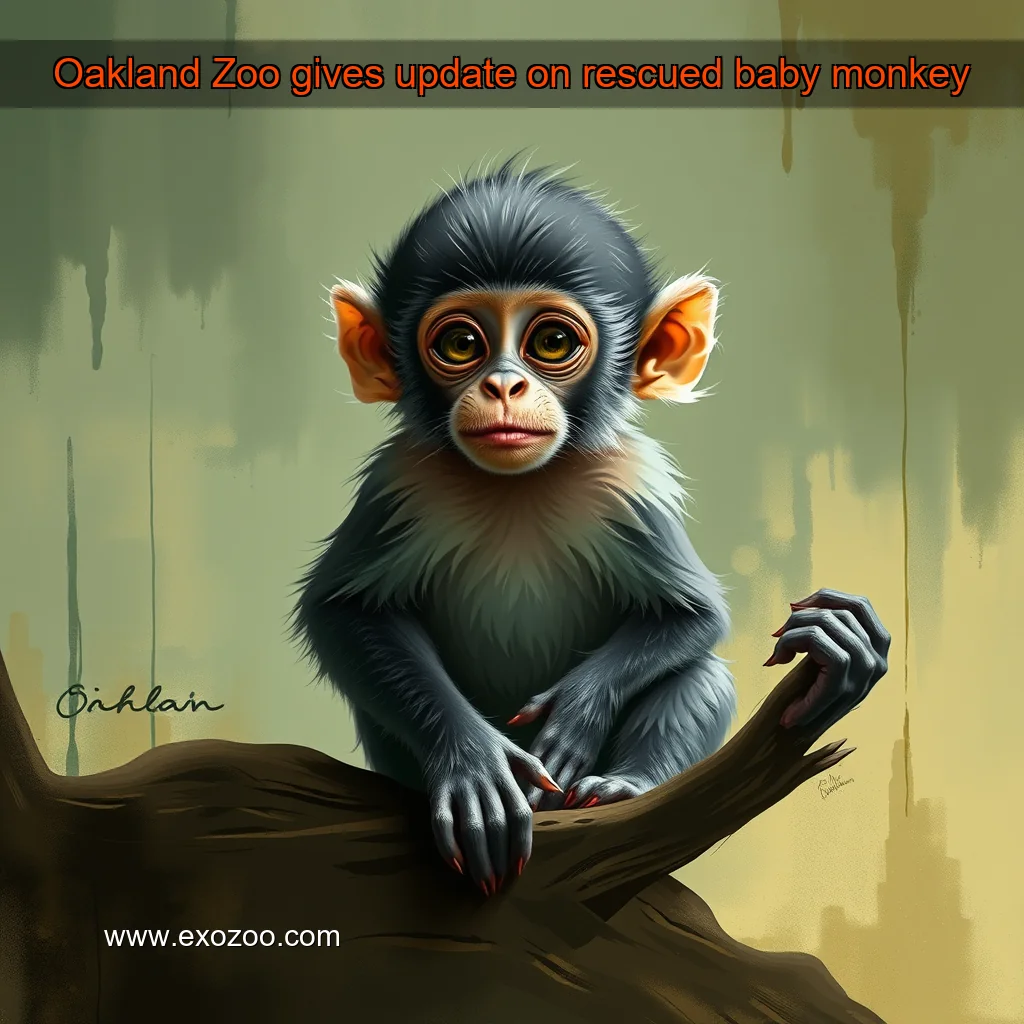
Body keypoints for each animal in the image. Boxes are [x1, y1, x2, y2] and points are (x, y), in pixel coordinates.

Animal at [291, 161, 890, 896]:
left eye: (551, 342)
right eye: (461, 344)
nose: (504, 387)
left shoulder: (629, 484)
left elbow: (692, 618)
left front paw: (574, 714)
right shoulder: (400, 482)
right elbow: (344, 613)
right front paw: (475, 765)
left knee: (698, 672)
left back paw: (625, 785)